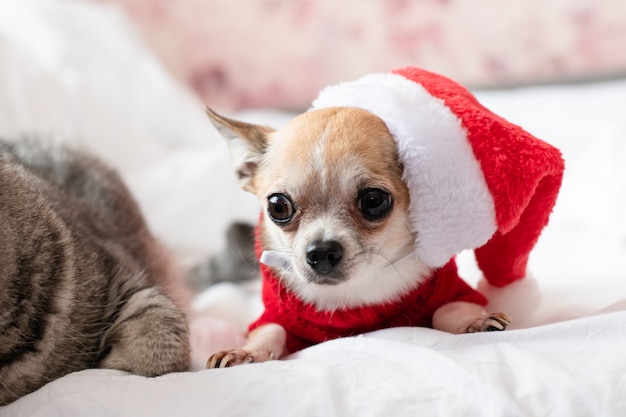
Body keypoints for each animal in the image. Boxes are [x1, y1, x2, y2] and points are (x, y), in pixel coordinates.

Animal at [204, 106, 508, 368]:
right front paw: (246, 352)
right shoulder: (276, 318)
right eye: (278, 206)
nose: (321, 251)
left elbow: (449, 311)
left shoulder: (452, 292)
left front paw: (474, 323)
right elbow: (271, 331)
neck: (353, 292)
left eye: (373, 200)